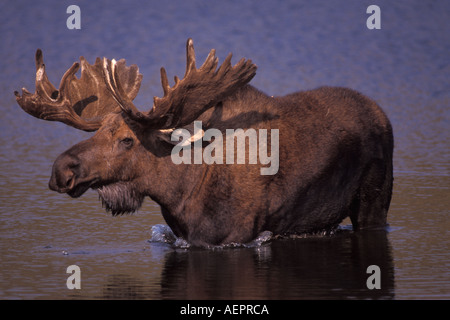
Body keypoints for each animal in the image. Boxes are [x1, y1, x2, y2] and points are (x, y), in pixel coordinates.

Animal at [14, 38, 394, 246]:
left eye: (126, 140)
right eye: (95, 133)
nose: (61, 170)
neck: (180, 189)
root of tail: (383, 114)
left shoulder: (232, 237)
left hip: (374, 201)